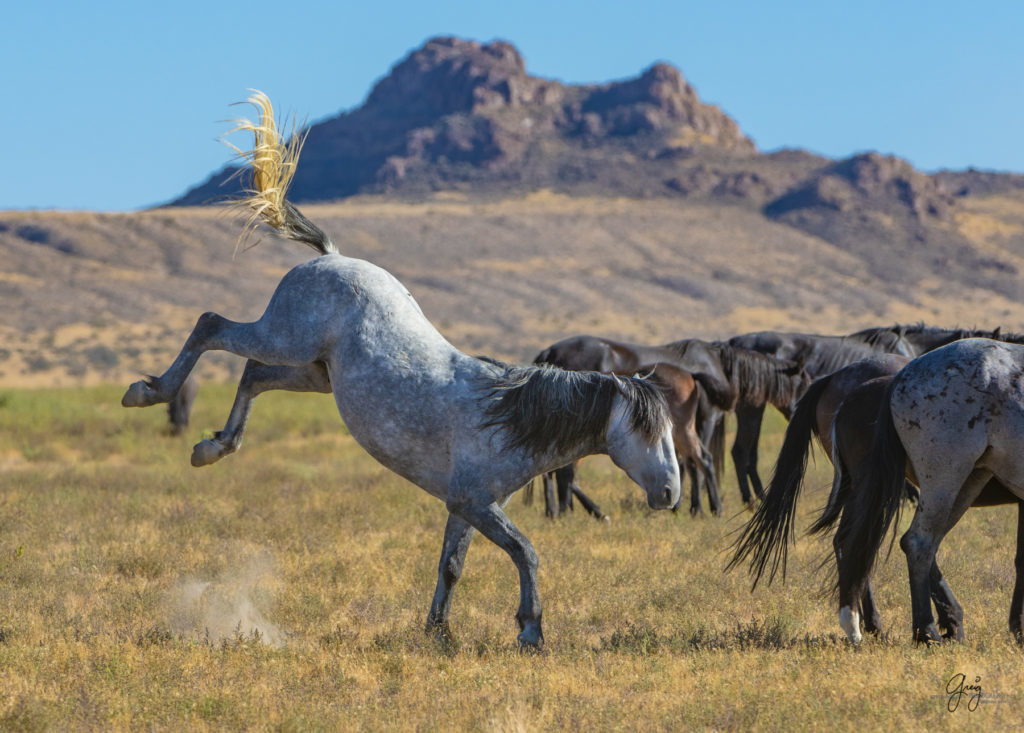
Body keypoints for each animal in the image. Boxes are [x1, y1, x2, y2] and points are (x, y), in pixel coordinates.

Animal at [121, 91, 679, 647]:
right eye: (646, 429)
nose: (671, 494)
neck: (504, 415)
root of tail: (330, 257)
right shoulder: (476, 503)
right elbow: (526, 551)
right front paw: (530, 631)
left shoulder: (464, 507)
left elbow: (451, 565)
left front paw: (438, 631)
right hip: (282, 337)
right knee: (211, 327)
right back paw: (147, 393)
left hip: (315, 373)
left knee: (253, 375)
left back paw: (213, 447)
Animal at [528, 333, 806, 515]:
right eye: (803, 382)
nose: (799, 411)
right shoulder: (705, 420)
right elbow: (691, 466)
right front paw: (693, 506)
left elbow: (684, 465)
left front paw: (686, 505)